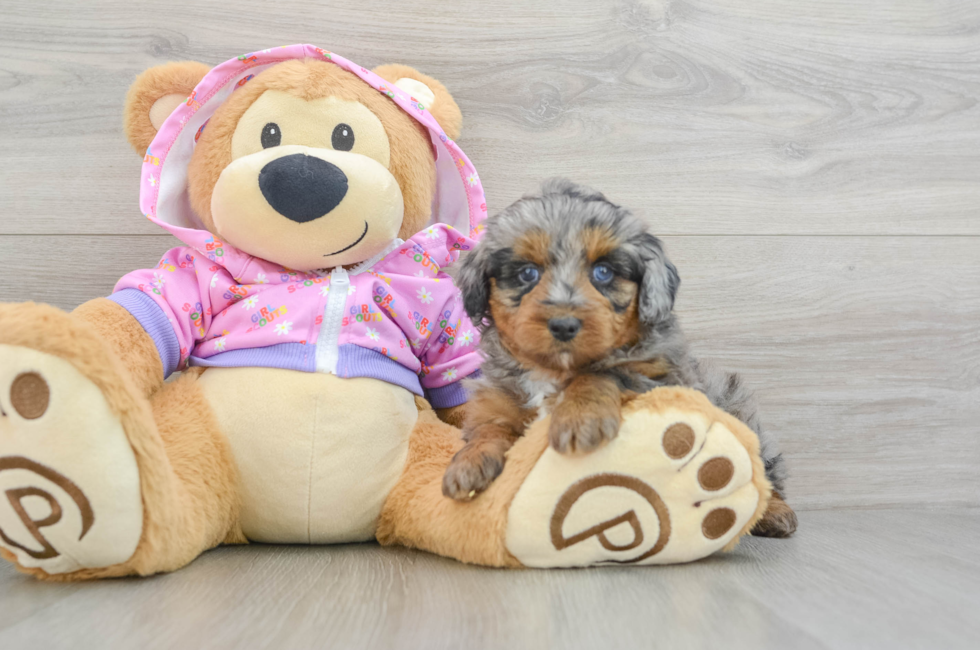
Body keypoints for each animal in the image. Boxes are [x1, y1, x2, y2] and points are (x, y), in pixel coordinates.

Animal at [442, 177, 796, 536]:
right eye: (527, 274)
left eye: (603, 272)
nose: (564, 325)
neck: (553, 371)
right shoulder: (499, 402)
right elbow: (489, 430)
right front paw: (469, 464)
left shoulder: (658, 380)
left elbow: (604, 372)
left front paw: (578, 417)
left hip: (736, 410)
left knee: (761, 473)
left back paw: (773, 513)